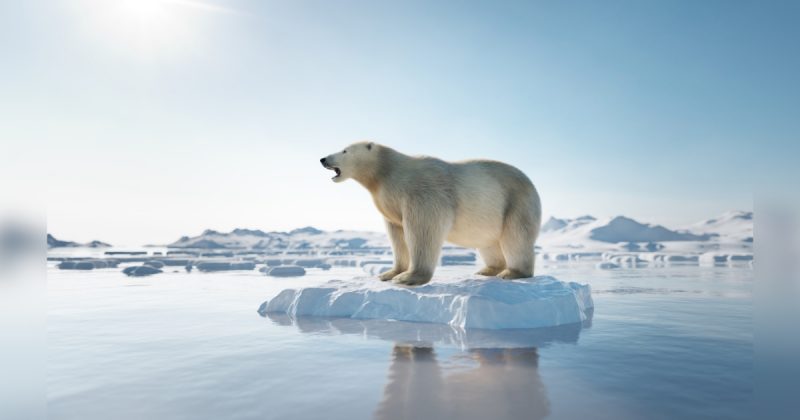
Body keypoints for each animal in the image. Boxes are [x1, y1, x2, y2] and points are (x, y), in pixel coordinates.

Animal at [322, 144, 540, 286]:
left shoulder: (422, 192)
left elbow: (423, 230)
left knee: (516, 237)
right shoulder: (390, 203)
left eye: (344, 150)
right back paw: (487, 270)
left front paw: (408, 277)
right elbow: (397, 235)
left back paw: (512, 272)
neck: (388, 172)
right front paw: (389, 273)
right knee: (489, 242)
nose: (323, 159)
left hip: (516, 203)